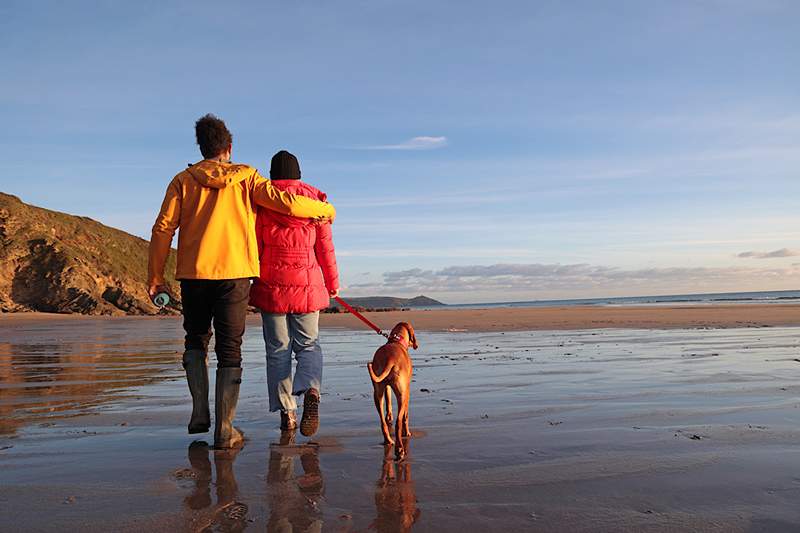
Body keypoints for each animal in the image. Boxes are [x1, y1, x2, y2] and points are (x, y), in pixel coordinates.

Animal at [368, 322, 418, 460]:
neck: (396, 340)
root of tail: (390, 359)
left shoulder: (387, 387)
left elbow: (388, 400)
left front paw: (389, 415)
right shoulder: (407, 391)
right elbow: (406, 415)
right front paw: (407, 432)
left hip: (377, 393)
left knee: (382, 421)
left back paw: (388, 440)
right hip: (402, 394)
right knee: (398, 422)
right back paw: (400, 449)